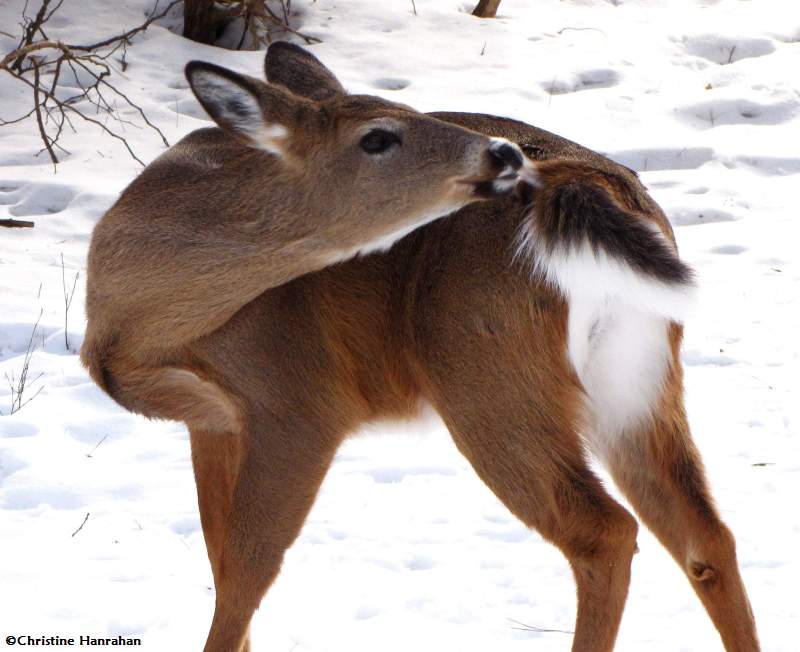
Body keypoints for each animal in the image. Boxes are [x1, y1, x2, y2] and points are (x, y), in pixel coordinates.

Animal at [83, 42, 764, 652]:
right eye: (378, 136)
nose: (502, 152)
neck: (140, 328)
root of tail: (589, 185)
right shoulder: (213, 422)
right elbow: (219, 554)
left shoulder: (298, 401)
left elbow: (246, 570)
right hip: (637, 380)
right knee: (706, 535)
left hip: (487, 377)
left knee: (605, 532)